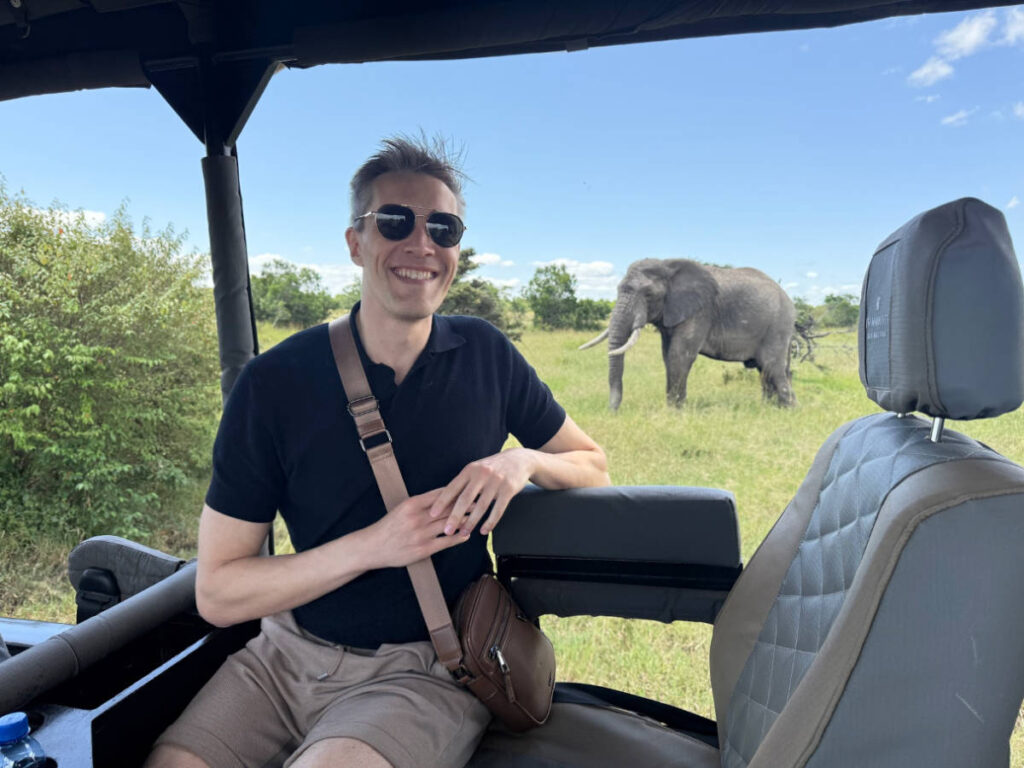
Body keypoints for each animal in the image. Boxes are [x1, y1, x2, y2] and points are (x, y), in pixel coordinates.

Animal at [580, 258, 796, 410]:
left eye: (648, 295)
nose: (613, 411)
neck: (667, 265)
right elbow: (667, 356)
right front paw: (673, 408)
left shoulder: (700, 311)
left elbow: (679, 355)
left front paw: (674, 412)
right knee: (768, 369)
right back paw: (770, 408)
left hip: (777, 325)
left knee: (772, 366)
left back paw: (789, 410)